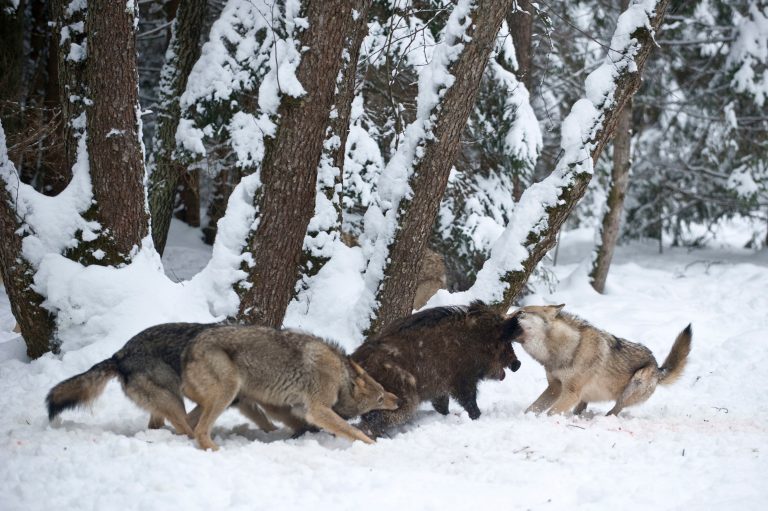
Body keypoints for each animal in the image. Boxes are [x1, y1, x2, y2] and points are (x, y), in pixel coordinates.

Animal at [352, 302, 520, 438]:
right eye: (504, 341)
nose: (517, 364)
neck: (475, 341)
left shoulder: (440, 388)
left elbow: (442, 405)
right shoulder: (462, 381)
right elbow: (469, 402)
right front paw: (477, 417)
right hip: (402, 399)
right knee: (372, 422)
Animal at [508, 304, 692, 416]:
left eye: (520, 312)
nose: (503, 316)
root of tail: (659, 368)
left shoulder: (571, 393)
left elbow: (550, 413)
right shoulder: (554, 388)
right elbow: (531, 409)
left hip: (635, 383)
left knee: (615, 411)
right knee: (582, 408)